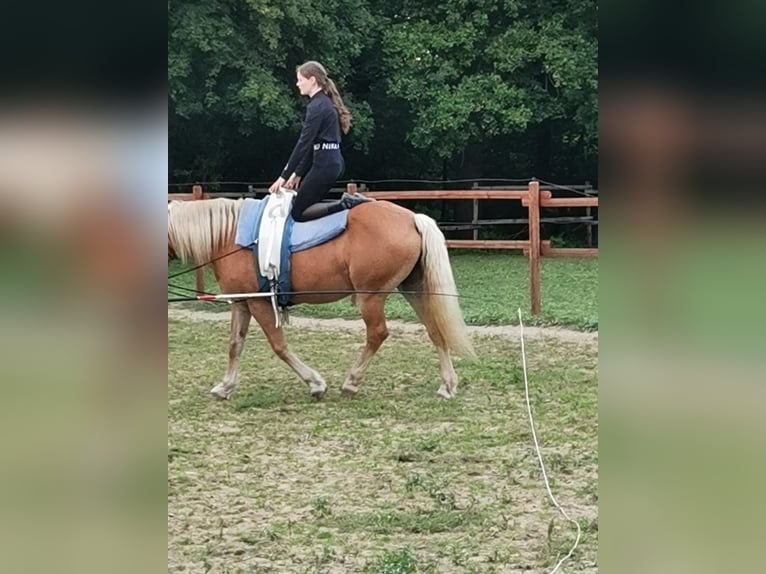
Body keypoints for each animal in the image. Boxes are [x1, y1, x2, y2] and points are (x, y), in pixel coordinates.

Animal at [170, 200, 474, 402]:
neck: (229, 235)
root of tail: (412, 218)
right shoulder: (242, 302)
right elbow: (235, 345)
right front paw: (225, 386)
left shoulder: (259, 303)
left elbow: (279, 346)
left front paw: (315, 383)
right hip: (414, 290)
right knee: (435, 331)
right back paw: (447, 385)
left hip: (370, 298)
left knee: (377, 333)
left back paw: (351, 382)